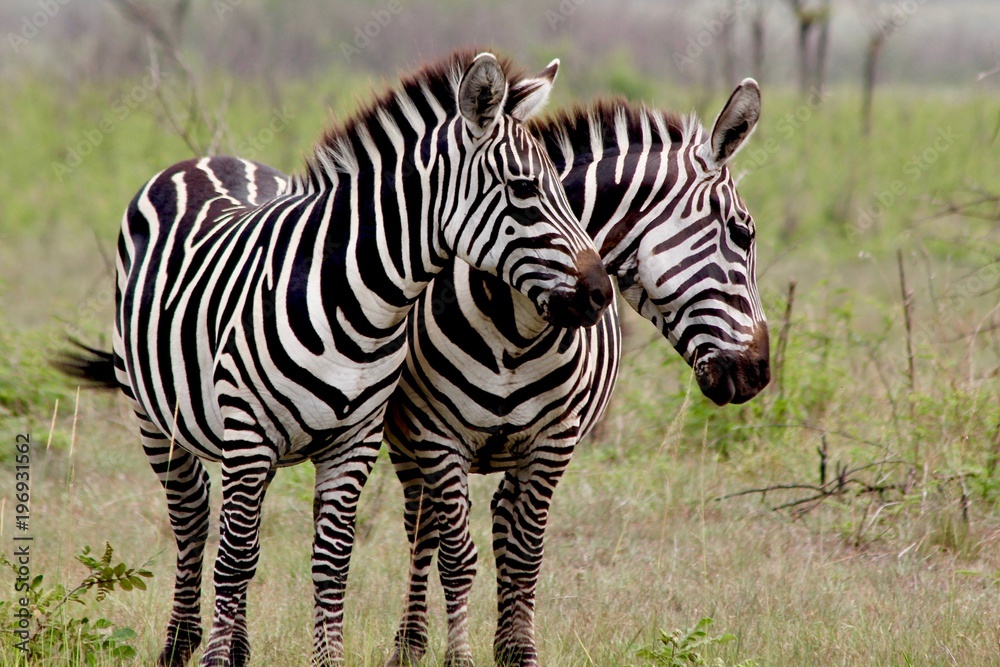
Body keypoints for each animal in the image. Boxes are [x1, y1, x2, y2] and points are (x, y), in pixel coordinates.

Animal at [57, 50, 613, 667]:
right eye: (522, 187)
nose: (600, 293)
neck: (362, 304)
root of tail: (208, 158)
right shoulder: (250, 432)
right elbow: (235, 560)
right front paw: (216, 658)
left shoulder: (355, 441)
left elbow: (329, 563)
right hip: (157, 417)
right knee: (195, 520)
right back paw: (181, 643)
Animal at [383, 79, 769, 667]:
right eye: (742, 235)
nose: (760, 372)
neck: (514, 323)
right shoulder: (436, 435)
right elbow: (455, 554)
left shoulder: (554, 441)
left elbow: (525, 553)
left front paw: (520, 654)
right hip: (410, 442)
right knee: (422, 529)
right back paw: (408, 644)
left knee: (503, 523)